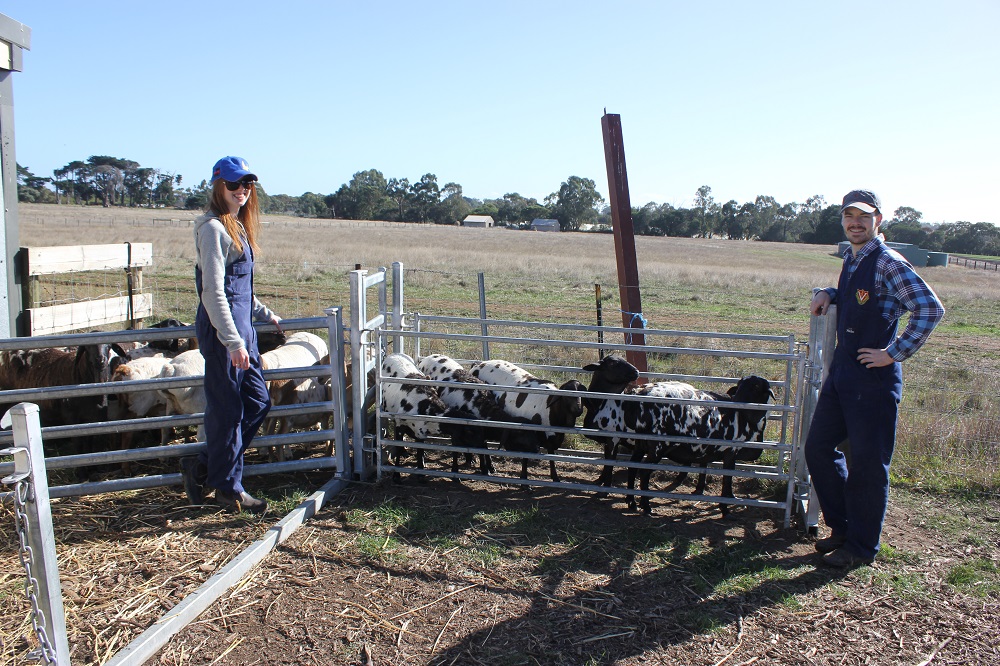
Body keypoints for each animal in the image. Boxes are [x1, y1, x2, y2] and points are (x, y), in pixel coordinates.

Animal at [584, 358, 776, 512]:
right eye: (613, 363)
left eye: (756, 386)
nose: (635, 371)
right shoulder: (730, 452)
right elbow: (727, 480)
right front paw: (725, 506)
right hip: (657, 447)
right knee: (643, 472)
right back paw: (645, 506)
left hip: (644, 445)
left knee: (634, 468)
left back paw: (633, 502)